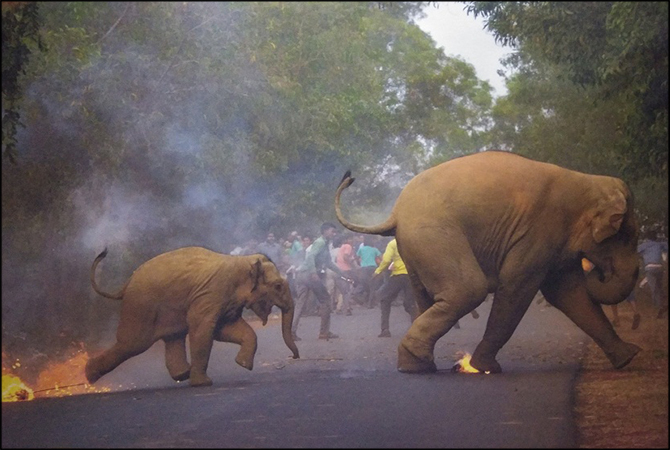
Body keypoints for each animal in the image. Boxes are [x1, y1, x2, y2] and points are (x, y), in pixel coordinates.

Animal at [86, 246, 300, 386]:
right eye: (278, 286)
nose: (294, 356)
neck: (243, 261)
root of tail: (127, 282)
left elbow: (225, 329)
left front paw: (243, 365)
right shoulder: (210, 294)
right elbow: (203, 329)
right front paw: (204, 384)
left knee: (173, 336)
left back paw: (182, 374)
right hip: (141, 305)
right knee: (133, 342)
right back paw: (90, 376)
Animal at [338, 150, 644, 372]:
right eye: (628, 237)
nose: (598, 272)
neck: (588, 182)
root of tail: (396, 212)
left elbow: (569, 293)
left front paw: (630, 358)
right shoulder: (539, 231)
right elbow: (518, 286)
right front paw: (484, 367)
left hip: (415, 247)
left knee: (427, 297)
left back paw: (418, 365)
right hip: (433, 234)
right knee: (468, 290)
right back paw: (423, 364)